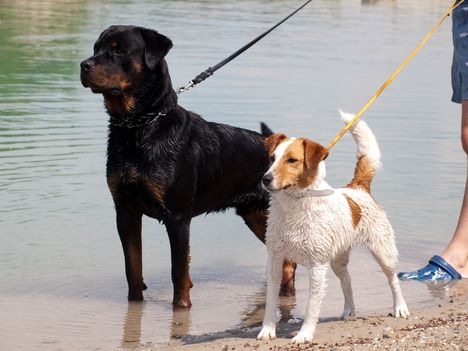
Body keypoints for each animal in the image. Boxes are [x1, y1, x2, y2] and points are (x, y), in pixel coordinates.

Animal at [78, 25, 294, 308]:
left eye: (119, 50)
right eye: (96, 48)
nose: (84, 65)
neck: (139, 127)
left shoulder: (177, 217)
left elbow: (179, 270)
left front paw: (182, 308)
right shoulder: (125, 211)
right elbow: (132, 267)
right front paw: (135, 304)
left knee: (289, 260)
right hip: (254, 214)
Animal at [258, 112, 408, 344]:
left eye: (292, 160)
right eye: (272, 158)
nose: (265, 179)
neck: (295, 204)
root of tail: (358, 187)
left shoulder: (317, 266)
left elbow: (312, 307)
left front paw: (304, 335)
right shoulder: (274, 260)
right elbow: (271, 301)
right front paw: (267, 330)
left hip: (383, 251)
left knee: (393, 279)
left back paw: (400, 307)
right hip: (338, 259)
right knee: (347, 282)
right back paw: (349, 310)